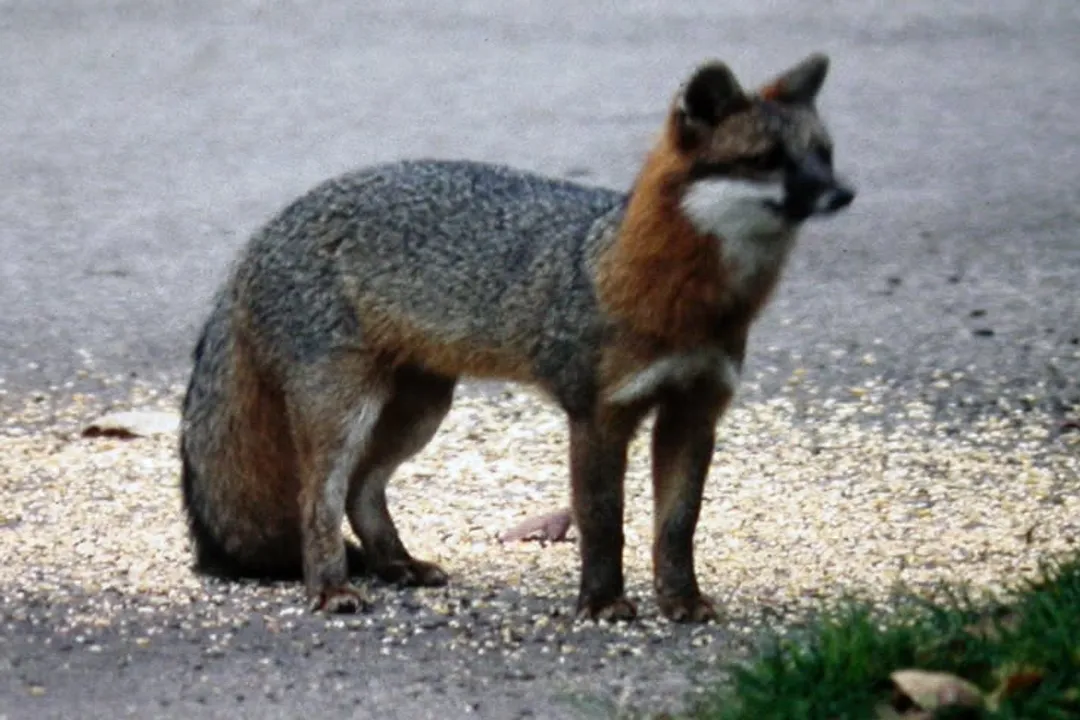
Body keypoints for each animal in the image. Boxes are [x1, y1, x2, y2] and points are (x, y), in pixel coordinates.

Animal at [180, 52, 854, 623]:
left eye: (824, 154)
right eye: (766, 159)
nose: (844, 193)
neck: (684, 300)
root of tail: (261, 235)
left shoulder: (695, 410)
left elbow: (678, 525)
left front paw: (680, 601)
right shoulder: (598, 415)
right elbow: (603, 521)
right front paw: (602, 604)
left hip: (420, 410)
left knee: (361, 488)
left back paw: (396, 564)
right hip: (347, 410)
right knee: (317, 498)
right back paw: (330, 587)